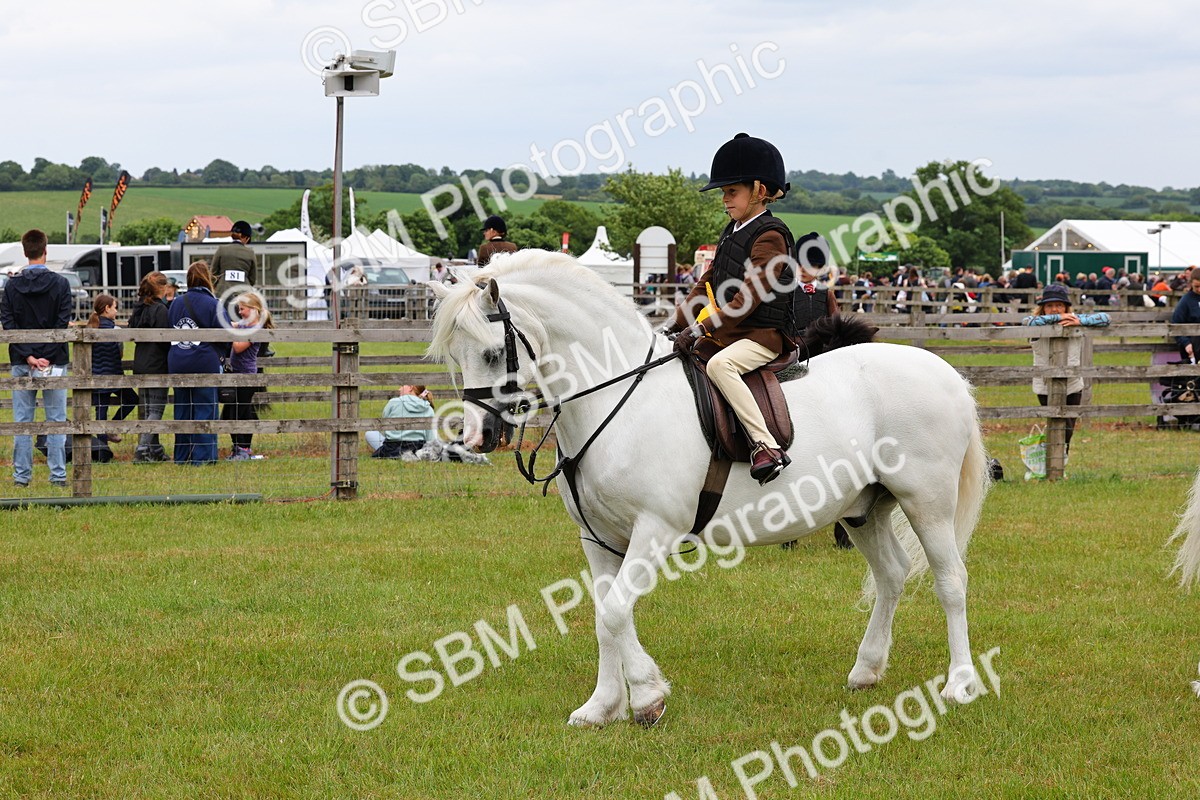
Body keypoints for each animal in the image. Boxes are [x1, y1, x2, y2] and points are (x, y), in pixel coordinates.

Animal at [427, 251, 990, 727]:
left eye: (493, 353)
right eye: (457, 355)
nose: (477, 436)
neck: (618, 396)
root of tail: (945, 372)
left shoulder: (655, 528)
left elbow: (615, 612)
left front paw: (647, 697)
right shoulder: (598, 538)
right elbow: (605, 615)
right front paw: (602, 707)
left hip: (927, 503)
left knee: (951, 582)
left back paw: (959, 684)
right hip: (863, 510)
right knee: (892, 575)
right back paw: (866, 671)